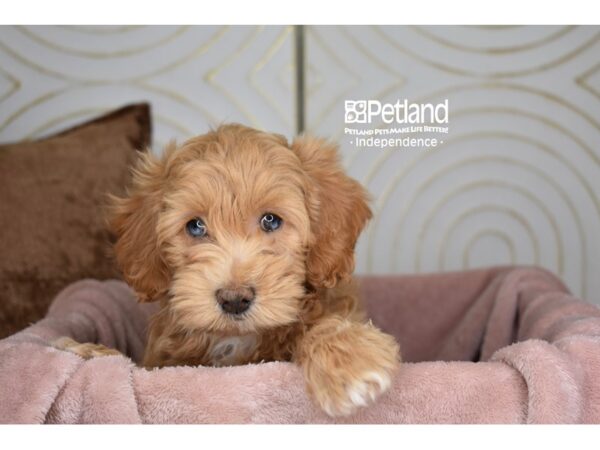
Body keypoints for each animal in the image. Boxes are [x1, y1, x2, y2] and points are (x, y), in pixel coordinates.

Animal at [58, 125, 400, 416]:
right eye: (195, 226)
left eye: (271, 220)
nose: (234, 299)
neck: (238, 341)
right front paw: (86, 350)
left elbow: (323, 324)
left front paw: (348, 361)